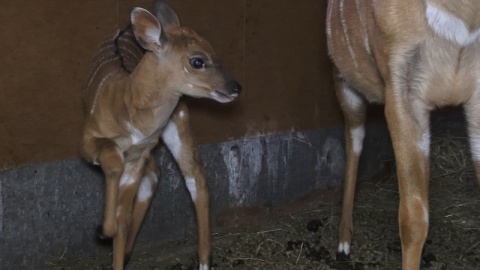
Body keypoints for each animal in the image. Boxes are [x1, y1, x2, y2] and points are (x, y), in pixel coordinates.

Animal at [82, 1, 242, 268]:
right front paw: (106, 231)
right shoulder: (89, 141)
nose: (235, 88)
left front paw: (105, 231)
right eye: (197, 61)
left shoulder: (138, 155)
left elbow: (122, 216)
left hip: (179, 121)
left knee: (194, 178)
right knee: (179, 175)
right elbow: (115, 170)